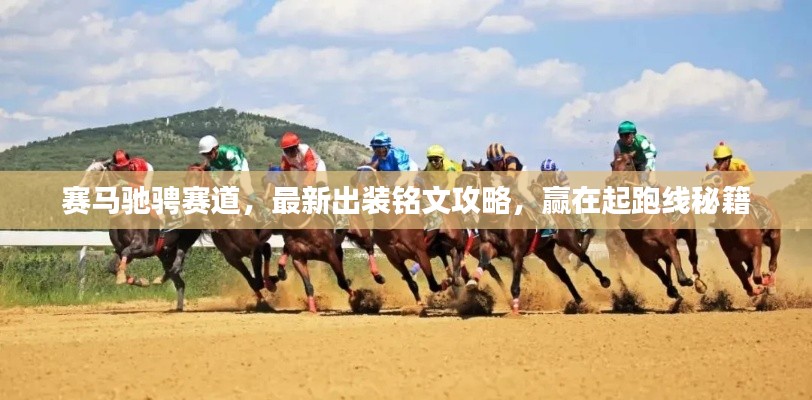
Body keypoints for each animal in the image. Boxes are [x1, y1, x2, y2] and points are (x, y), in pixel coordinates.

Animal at [79, 159, 204, 311]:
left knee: (177, 264)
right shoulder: (120, 250)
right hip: (164, 251)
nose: (81, 189)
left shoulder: (145, 247)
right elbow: (112, 267)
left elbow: (126, 253)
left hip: (184, 241)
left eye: (96, 173)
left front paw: (123, 278)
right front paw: (141, 281)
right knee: (178, 278)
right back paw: (176, 302)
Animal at [608, 152, 706, 301]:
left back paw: (698, 281)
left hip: (690, 232)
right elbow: (663, 277)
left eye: (628, 163)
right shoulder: (646, 258)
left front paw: (687, 280)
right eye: (612, 164)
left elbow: (680, 273)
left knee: (692, 256)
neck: (640, 221)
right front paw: (673, 291)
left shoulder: (669, 243)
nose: (613, 181)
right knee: (668, 261)